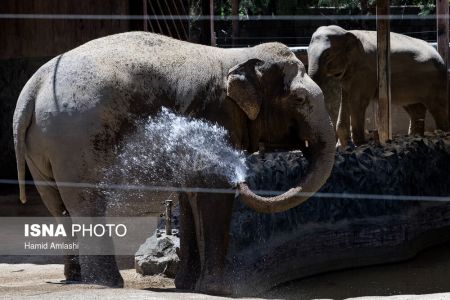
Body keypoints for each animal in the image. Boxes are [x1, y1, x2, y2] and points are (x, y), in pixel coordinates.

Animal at [12, 31, 336, 294]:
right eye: (299, 99)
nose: (244, 175)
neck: (237, 56)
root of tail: (33, 87)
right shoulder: (215, 112)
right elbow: (212, 190)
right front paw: (218, 289)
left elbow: (189, 195)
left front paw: (188, 285)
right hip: (75, 138)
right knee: (87, 205)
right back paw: (107, 283)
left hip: (42, 146)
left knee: (58, 207)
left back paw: (76, 278)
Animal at [308, 24, 448, 146]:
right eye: (307, 51)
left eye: (327, 54)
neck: (347, 32)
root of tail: (440, 57)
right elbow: (345, 100)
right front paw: (342, 146)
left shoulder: (365, 72)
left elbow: (357, 102)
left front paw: (360, 144)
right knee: (415, 108)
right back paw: (415, 137)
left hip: (435, 82)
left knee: (438, 108)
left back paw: (443, 135)